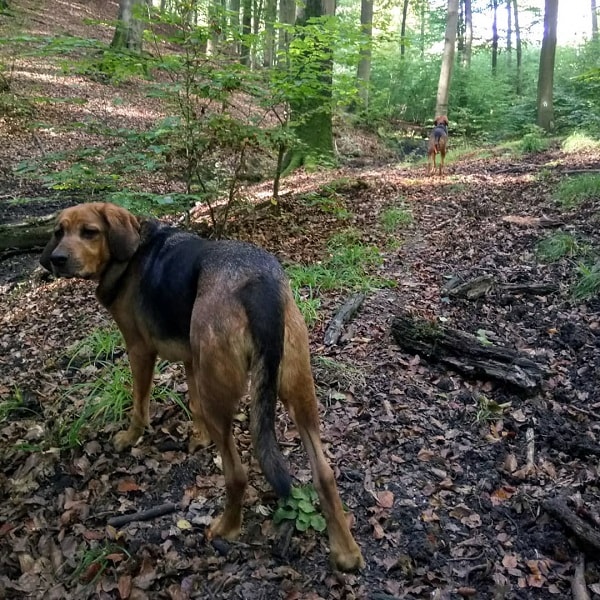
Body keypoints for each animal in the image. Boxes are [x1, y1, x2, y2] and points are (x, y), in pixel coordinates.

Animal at [39, 203, 364, 572]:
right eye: (59, 232)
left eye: (90, 232)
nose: (57, 260)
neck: (134, 251)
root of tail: (259, 283)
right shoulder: (192, 359)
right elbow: (192, 403)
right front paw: (198, 438)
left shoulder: (139, 350)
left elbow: (139, 403)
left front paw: (130, 437)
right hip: (296, 388)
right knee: (324, 473)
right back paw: (345, 552)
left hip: (221, 396)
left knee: (236, 475)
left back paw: (226, 528)